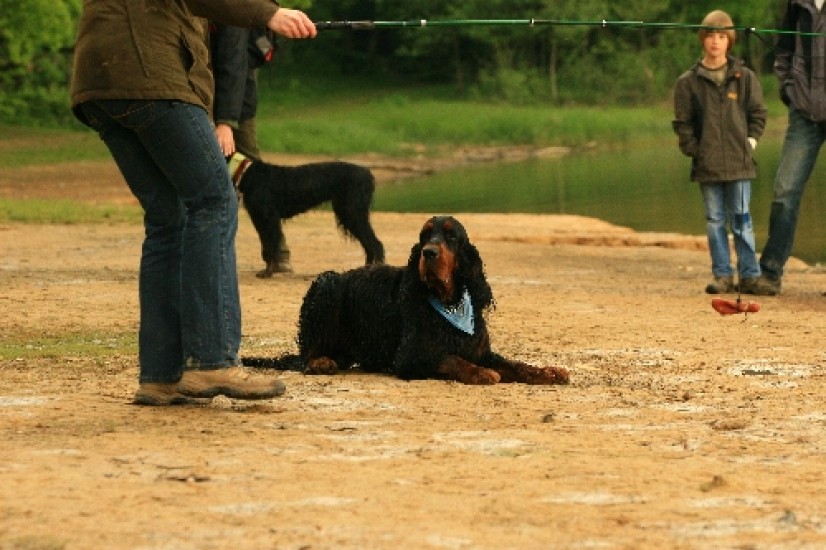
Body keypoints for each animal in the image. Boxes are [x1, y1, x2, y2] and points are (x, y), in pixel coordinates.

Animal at [228, 152, 385, 277]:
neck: (249, 174)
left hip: (353, 213)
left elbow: (270, 246)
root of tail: (368, 173)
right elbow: (267, 245)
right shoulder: (260, 220)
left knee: (375, 244)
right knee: (369, 245)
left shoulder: (268, 219)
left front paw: (268, 272)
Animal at [252, 215, 570, 385]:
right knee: (306, 355)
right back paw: (320, 363)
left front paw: (549, 372)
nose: (428, 253)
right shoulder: (410, 356)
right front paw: (480, 373)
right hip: (327, 282)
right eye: (425, 235)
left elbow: (516, 365)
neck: (449, 302)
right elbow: (450, 358)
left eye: (451, 237)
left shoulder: (481, 350)